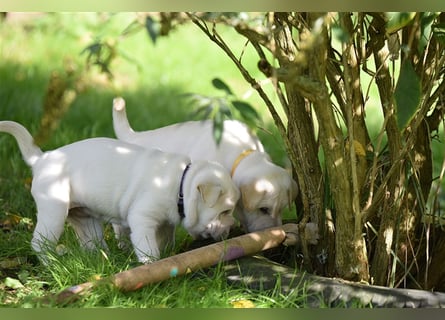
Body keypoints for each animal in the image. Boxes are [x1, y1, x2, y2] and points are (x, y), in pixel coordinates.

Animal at [0, 121, 239, 264]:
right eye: (225, 211)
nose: (232, 227)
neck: (181, 185)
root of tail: (42, 158)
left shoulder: (165, 223)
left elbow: (165, 240)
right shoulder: (142, 218)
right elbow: (148, 247)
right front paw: (151, 265)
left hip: (86, 220)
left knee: (91, 242)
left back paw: (100, 261)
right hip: (54, 210)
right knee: (39, 243)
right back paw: (51, 263)